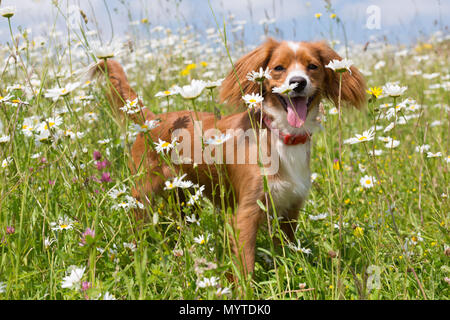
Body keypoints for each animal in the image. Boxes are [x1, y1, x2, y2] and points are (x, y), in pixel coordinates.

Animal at [92, 37, 366, 278]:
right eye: (279, 67)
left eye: (313, 67)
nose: (297, 82)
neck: (280, 135)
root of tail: (151, 120)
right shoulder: (246, 214)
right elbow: (245, 266)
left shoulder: (290, 210)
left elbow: (286, 252)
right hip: (142, 196)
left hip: (184, 198)